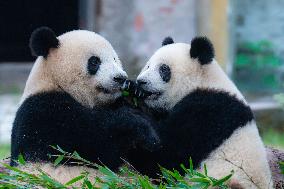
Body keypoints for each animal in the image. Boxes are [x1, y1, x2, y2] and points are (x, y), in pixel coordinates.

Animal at [10, 27, 160, 185]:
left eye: (115, 59)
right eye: (94, 61)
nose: (120, 78)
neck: (54, 82)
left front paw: (135, 92)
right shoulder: (42, 112)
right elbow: (92, 143)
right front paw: (140, 127)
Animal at [130, 36, 272, 188]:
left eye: (163, 69)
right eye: (148, 66)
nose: (141, 81)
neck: (203, 82)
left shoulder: (209, 112)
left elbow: (166, 155)